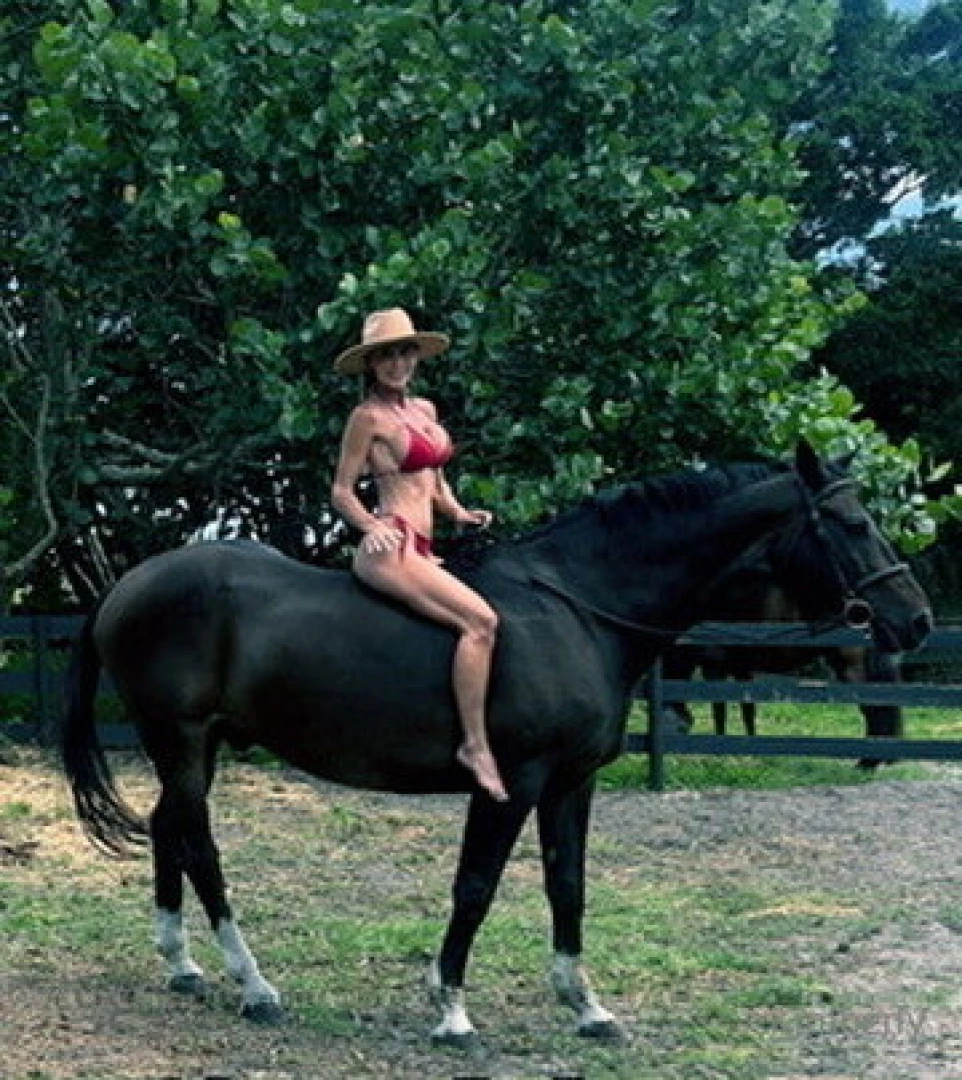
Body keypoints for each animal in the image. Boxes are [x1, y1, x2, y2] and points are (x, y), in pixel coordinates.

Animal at [56, 441, 932, 1046]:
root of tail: (129, 582)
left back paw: (184, 965)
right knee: (200, 846)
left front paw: (587, 1006)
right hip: (182, 740)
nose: (916, 620)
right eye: (855, 523)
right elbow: (474, 888)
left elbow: (567, 886)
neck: (577, 607)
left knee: (169, 830)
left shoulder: (573, 783)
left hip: (191, 750)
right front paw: (450, 1010)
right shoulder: (511, 783)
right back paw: (255, 985)